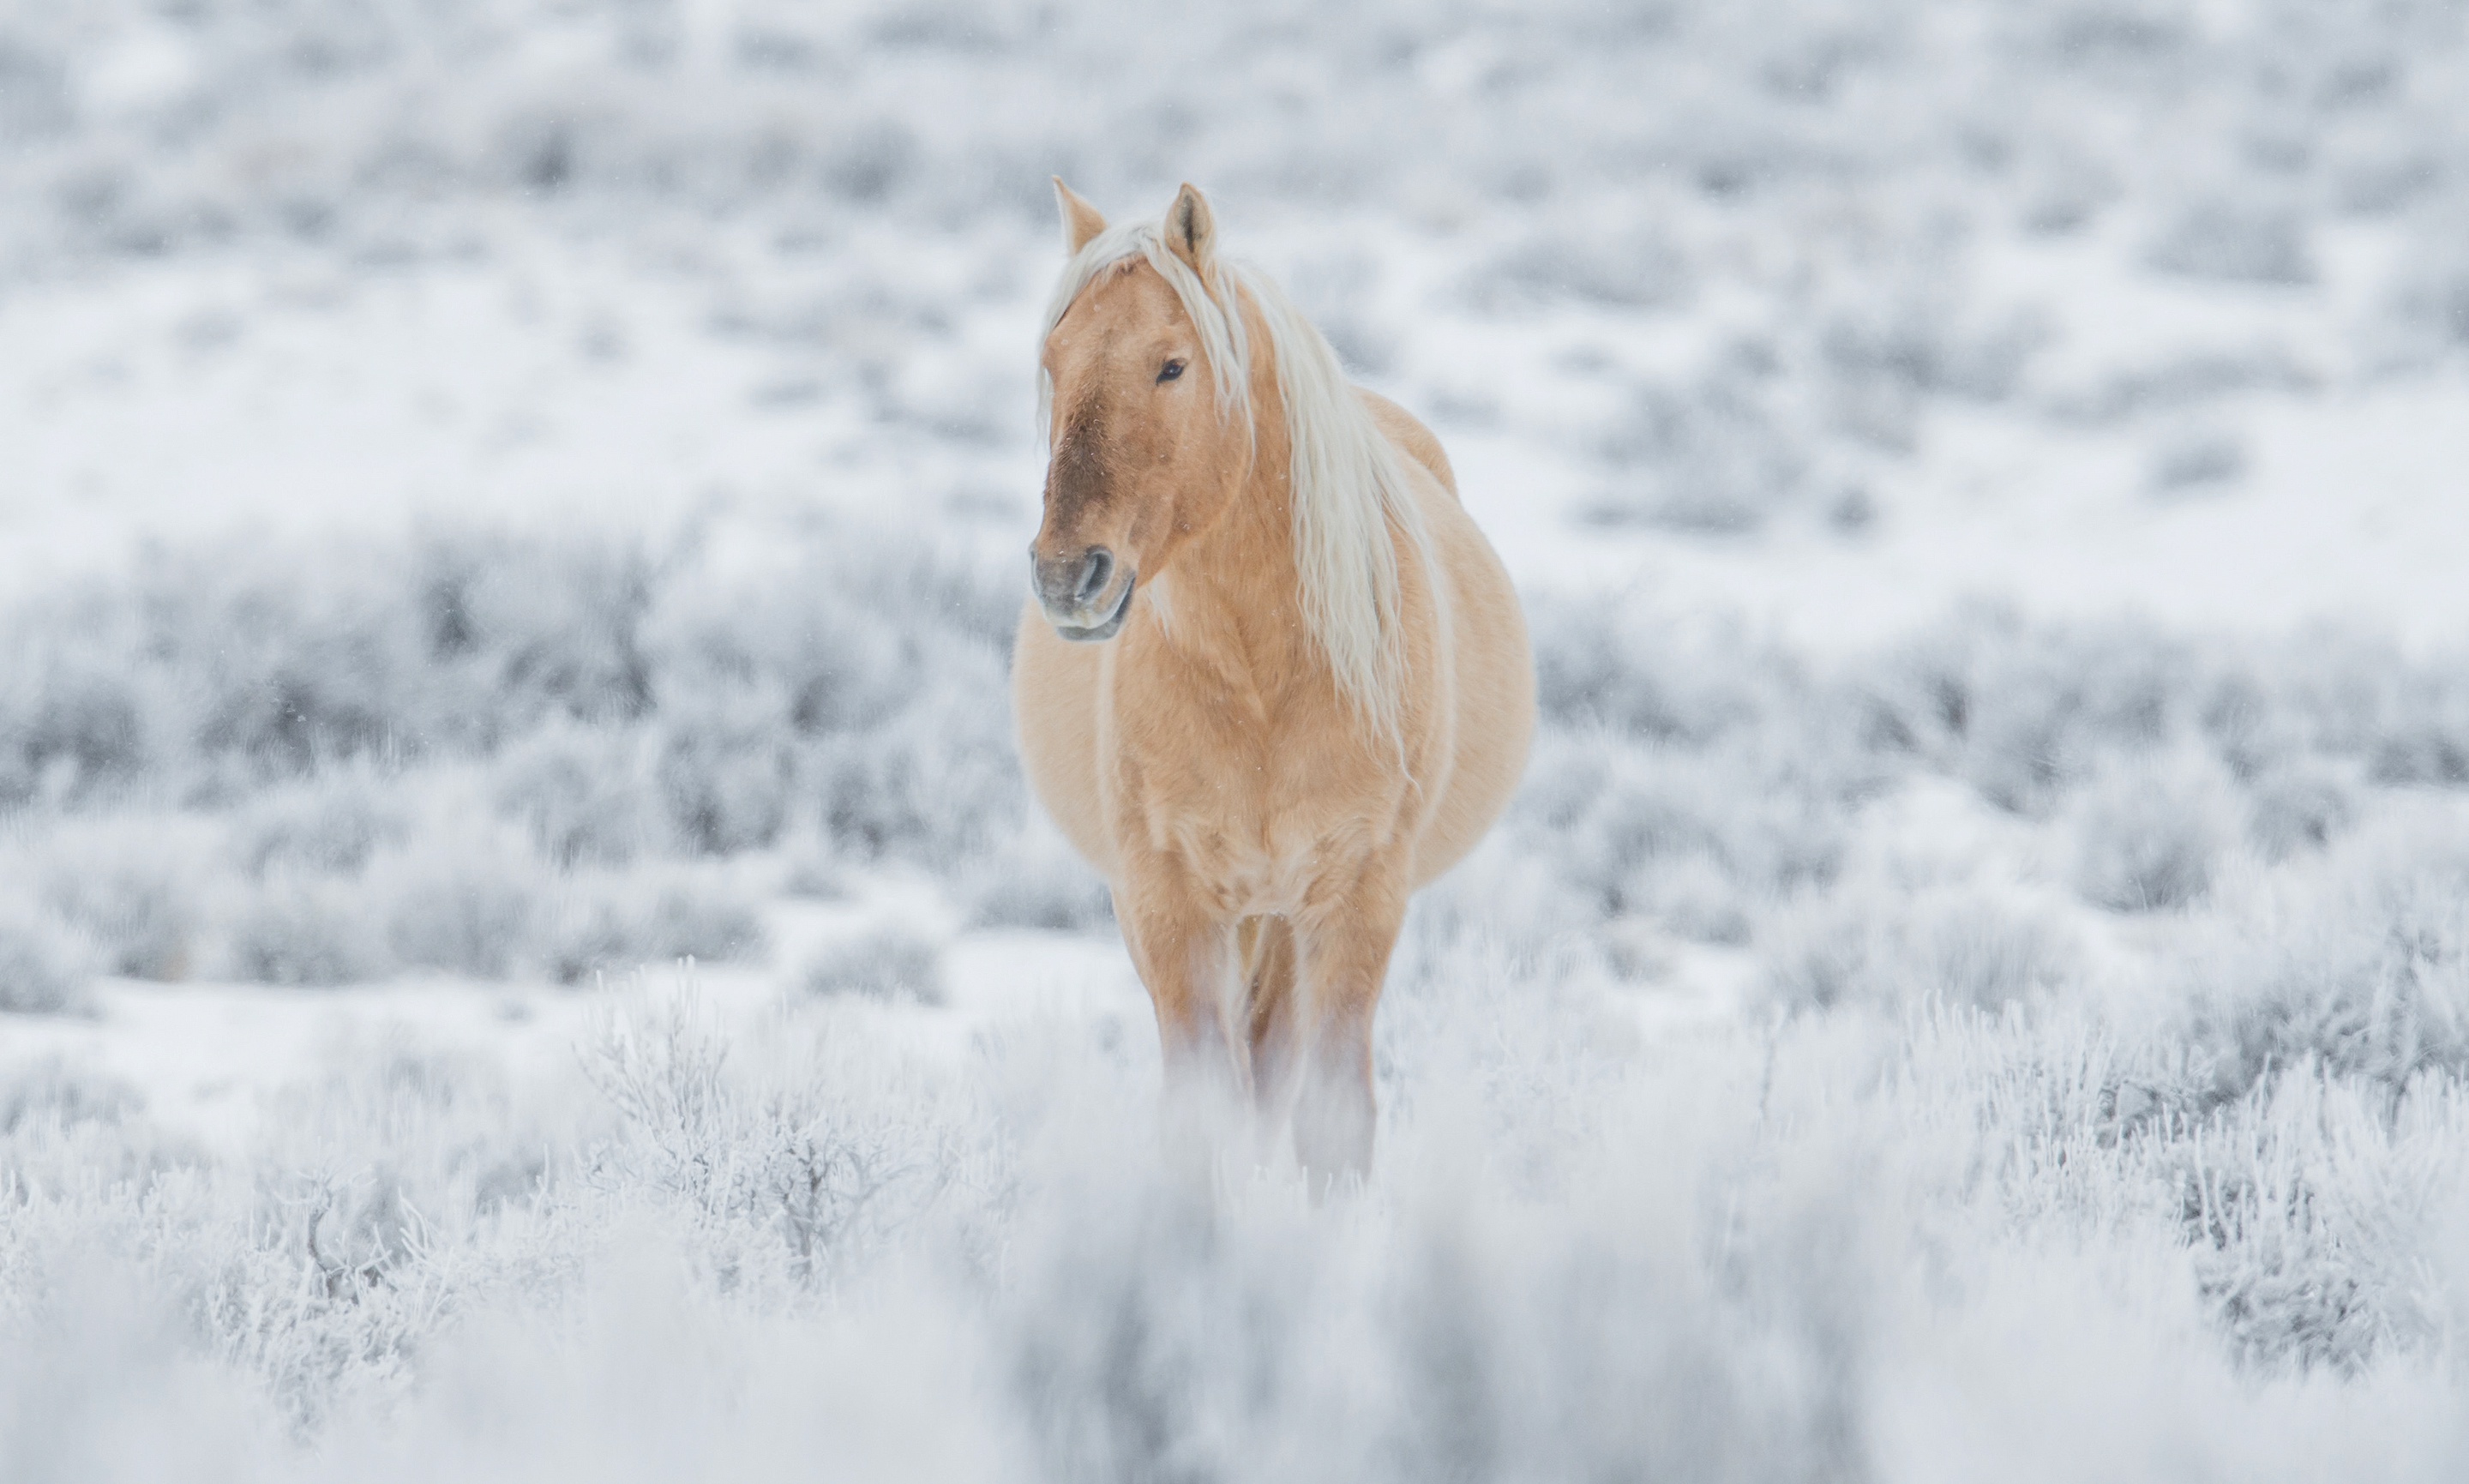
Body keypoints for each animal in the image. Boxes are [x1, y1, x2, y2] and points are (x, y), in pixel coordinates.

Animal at [1012, 183, 1530, 1180]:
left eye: (1172, 366)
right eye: (1052, 362)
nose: (1067, 576)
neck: (1262, 683)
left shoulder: (1356, 898)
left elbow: (1332, 1119)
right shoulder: (1167, 904)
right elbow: (1198, 1117)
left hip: (1287, 924)